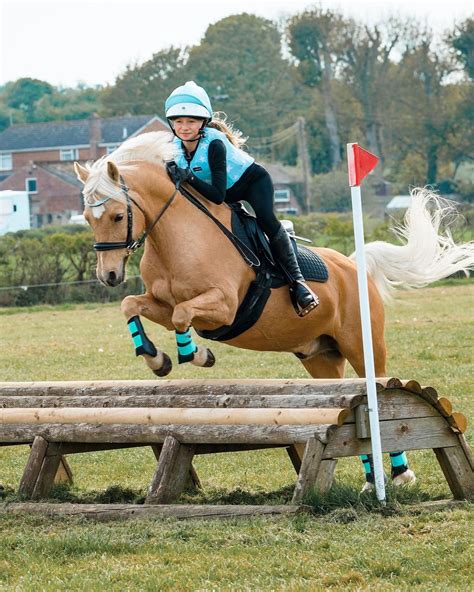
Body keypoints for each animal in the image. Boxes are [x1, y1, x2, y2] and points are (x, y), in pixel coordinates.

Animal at [75, 132, 474, 492]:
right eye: (87, 218)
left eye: (116, 215)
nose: (109, 276)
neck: (179, 237)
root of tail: (353, 265)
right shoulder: (161, 302)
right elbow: (134, 305)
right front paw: (155, 357)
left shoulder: (223, 307)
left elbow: (182, 316)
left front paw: (197, 354)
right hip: (321, 358)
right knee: (345, 401)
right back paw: (370, 478)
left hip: (362, 344)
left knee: (377, 389)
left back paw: (400, 474)